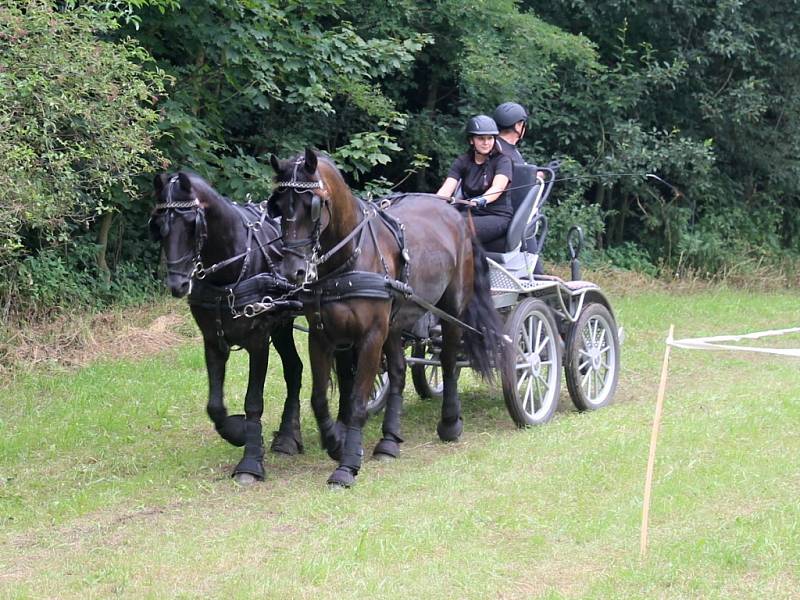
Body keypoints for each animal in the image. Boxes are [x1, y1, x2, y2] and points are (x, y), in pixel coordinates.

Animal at [150, 171, 304, 486]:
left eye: (191, 224)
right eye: (159, 226)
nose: (178, 284)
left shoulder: (259, 340)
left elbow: (253, 402)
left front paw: (251, 462)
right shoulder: (212, 340)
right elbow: (214, 407)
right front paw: (239, 432)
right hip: (282, 325)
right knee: (294, 368)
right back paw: (287, 437)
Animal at [268, 149, 506, 488]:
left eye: (312, 205)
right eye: (277, 204)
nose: (293, 271)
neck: (349, 257)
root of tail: (456, 215)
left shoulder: (370, 337)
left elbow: (356, 401)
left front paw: (347, 466)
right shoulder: (322, 335)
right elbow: (319, 398)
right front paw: (336, 443)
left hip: (450, 312)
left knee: (447, 361)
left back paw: (450, 423)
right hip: (395, 324)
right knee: (398, 371)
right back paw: (389, 441)